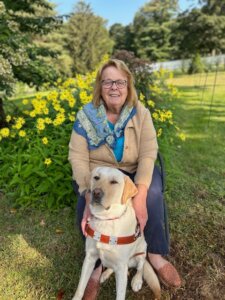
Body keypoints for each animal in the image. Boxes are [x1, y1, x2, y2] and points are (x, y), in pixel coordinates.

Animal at [72, 166, 160, 300]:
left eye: (114, 182)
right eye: (96, 177)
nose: (96, 193)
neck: (106, 219)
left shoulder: (121, 266)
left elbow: (120, 295)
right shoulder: (89, 258)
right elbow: (80, 288)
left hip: (141, 252)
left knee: (141, 267)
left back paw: (137, 281)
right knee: (111, 267)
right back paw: (105, 274)